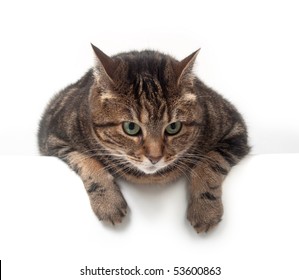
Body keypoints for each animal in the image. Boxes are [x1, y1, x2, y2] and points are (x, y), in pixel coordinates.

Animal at [38, 43, 250, 232]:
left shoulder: (235, 129)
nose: (154, 157)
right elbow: (88, 162)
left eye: (174, 127)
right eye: (131, 127)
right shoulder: (53, 137)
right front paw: (108, 203)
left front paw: (205, 210)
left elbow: (210, 162)